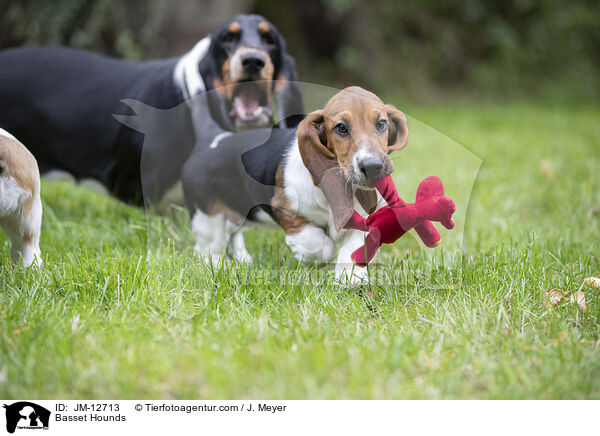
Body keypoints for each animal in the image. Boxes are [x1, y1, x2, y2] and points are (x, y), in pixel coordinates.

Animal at [183, 86, 408, 282]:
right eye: (341, 128)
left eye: (381, 124)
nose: (372, 166)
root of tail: (212, 139)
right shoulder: (288, 213)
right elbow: (321, 246)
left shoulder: (363, 221)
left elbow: (352, 248)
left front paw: (350, 280)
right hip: (207, 219)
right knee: (209, 249)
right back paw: (220, 267)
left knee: (233, 234)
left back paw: (242, 260)